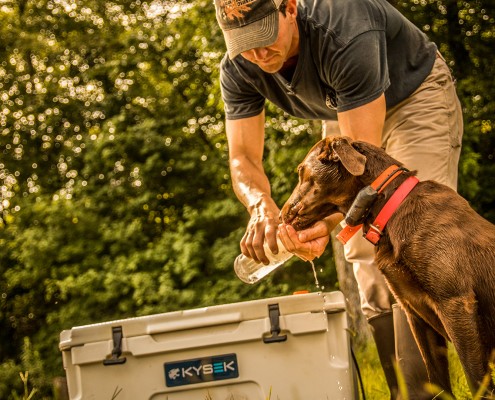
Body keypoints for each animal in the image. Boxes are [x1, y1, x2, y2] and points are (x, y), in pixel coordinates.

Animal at [282, 136, 495, 396]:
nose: (281, 215)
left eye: (301, 172)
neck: (388, 209)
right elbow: (436, 380)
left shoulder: (456, 303)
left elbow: (476, 381)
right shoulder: (414, 312)